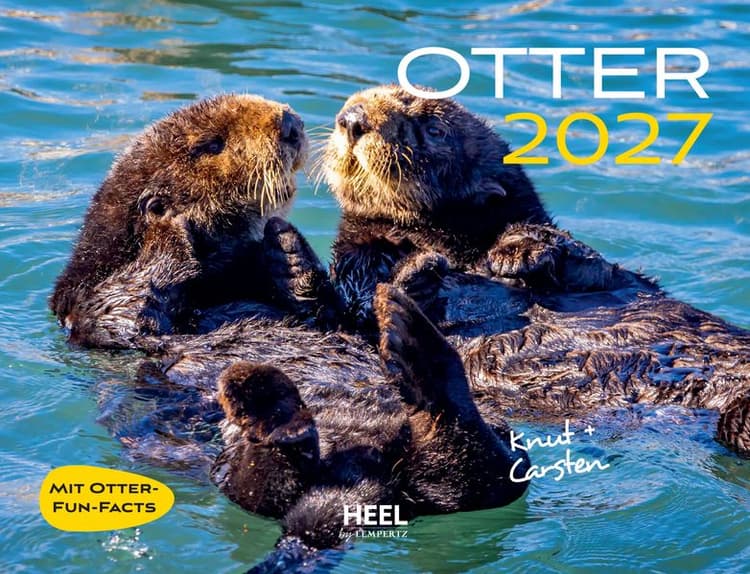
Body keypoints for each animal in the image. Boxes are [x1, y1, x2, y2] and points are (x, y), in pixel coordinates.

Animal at [49, 93, 337, 348]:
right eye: (212, 145)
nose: (289, 123)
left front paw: (288, 253)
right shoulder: (84, 309)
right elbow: (122, 315)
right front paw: (165, 225)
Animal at [320, 84, 750, 457]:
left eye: (433, 129)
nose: (352, 119)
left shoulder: (594, 264)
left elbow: (590, 263)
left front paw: (519, 252)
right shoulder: (356, 261)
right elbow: (361, 298)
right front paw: (418, 273)